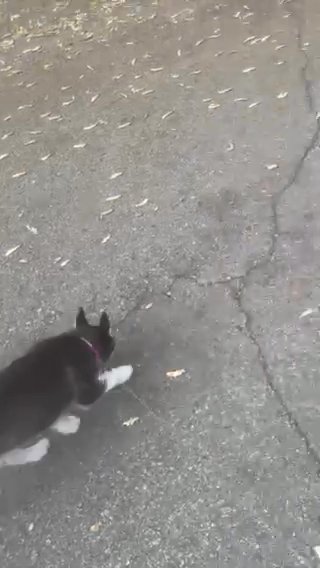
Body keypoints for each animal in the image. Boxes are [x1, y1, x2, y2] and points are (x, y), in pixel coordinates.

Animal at [0, 308, 132, 468]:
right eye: (113, 343)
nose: (115, 343)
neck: (83, 341)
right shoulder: (88, 391)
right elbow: (109, 379)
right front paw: (126, 371)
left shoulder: (50, 408)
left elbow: (54, 417)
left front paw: (66, 424)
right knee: (9, 457)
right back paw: (37, 451)